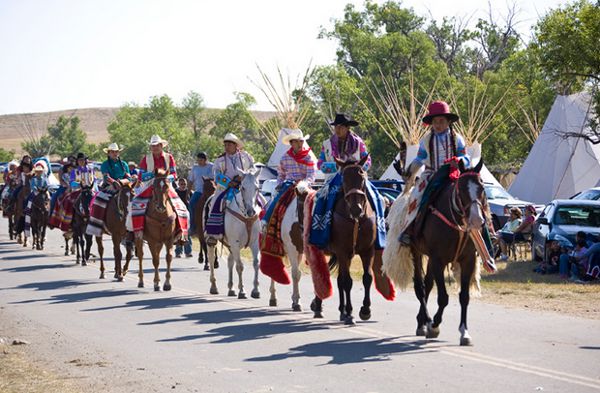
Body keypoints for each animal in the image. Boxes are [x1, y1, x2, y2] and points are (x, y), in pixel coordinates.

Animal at [205, 167, 262, 298]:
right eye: (243, 188)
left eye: (257, 188)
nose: (251, 211)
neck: (245, 217)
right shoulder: (235, 243)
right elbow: (240, 266)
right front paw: (242, 291)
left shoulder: (254, 242)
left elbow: (256, 263)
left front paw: (255, 290)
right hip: (214, 242)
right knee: (211, 259)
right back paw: (213, 286)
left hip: (230, 245)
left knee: (230, 262)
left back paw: (231, 288)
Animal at [310, 155, 384, 324]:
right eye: (344, 179)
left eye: (362, 176)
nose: (356, 208)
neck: (356, 220)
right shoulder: (342, 252)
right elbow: (347, 282)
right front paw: (350, 313)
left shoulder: (367, 251)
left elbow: (367, 278)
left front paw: (365, 310)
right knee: (323, 276)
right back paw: (318, 306)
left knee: (339, 280)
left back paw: (341, 310)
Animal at [384, 158, 488, 344]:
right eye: (462, 188)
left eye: (482, 188)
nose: (477, 220)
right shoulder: (438, 259)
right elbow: (443, 297)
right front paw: (434, 325)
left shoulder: (467, 260)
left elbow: (464, 297)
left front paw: (464, 332)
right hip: (417, 252)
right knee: (420, 287)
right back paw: (425, 321)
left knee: (428, 285)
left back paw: (422, 322)